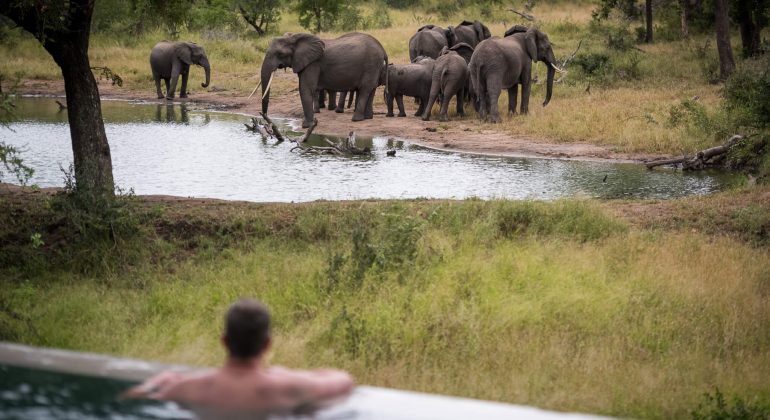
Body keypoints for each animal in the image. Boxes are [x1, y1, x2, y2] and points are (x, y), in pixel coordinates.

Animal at [260, 32, 388, 128]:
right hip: (374, 67)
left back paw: (356, 119)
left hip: (371, 65)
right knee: (371, 89)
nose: (265, 117)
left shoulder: (313, 63)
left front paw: (307, 126)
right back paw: (367, 118)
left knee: (365, 90)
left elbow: (305, 88)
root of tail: (382, 49)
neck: (294, 38)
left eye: (280, 54)